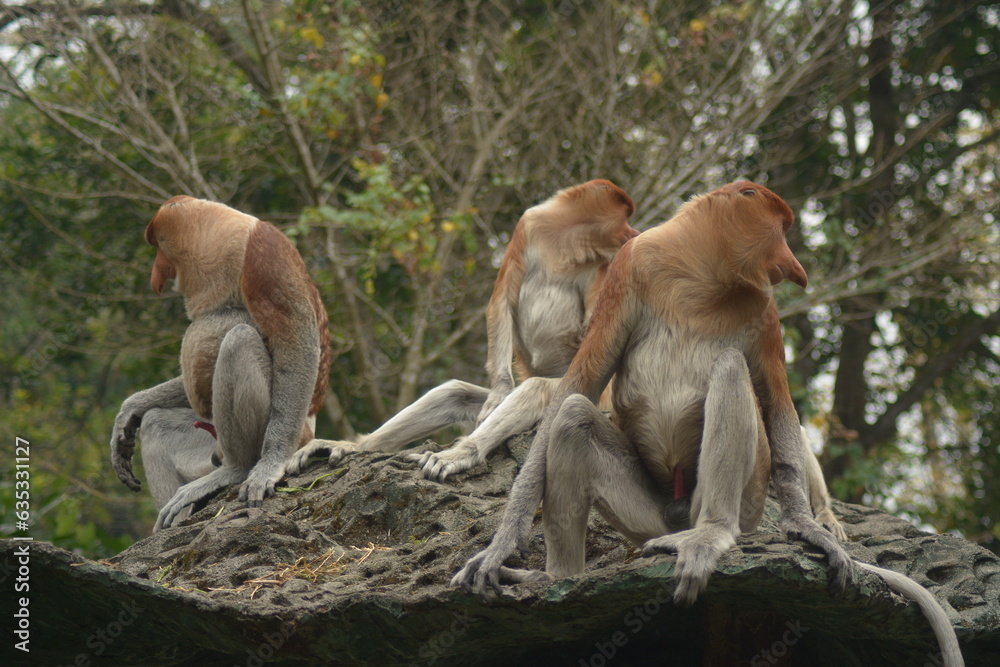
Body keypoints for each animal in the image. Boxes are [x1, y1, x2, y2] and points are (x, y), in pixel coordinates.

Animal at [110, 196, 332, 531]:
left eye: (158, 246)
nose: (156, 276)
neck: (217, 237)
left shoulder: (262, 253)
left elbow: (296, 339)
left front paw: (269, 466)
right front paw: (129, 411)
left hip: (286, 431)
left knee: (238, 340)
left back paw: (237, 469)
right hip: (207, 439)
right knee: (156, 424)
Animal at [284, 179, 639, 481]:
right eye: (625, 217)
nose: (633, 232)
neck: (566, 239)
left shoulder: (603, 269)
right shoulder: (528, 227)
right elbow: (501, 300)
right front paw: (498, 394)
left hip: (592, 394)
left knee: (537, 389)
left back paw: (458, 455)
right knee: (452, 392)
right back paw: (355, 446)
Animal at [452, 182, 962, 666]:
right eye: (782, 228)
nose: (794, 267)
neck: (701, 272)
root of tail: (677, 515)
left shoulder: (764, 308)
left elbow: (777, 403)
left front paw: (807, 527)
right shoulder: (627, 268)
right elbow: (579, 384)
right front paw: (501, 546)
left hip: (746, 499)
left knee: (731, 368)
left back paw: (709, 536)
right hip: (646, 518)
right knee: (575, 417)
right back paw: (554, 577)